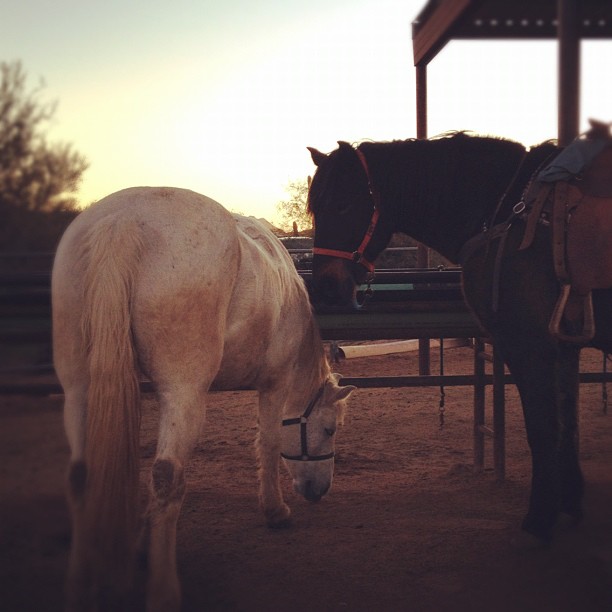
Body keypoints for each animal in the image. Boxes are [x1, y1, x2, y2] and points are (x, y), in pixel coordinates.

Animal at [52, 188, 354, 612]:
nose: (319, 490)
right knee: (166, 478)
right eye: (329, 429)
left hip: (80, 389)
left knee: (81, 476)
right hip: (185, 393)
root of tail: (124, 221)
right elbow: (267, 443)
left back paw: (79, 586)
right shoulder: (274, 384)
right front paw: (275, 511)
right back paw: (164, 593)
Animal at [308, 131, 612, 544]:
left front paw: (539, 519)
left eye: (342, 205)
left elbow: (543, 429)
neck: (506, 214)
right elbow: (567, 427)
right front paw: (568, 503)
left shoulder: (530, 347)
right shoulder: (564, 347)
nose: (325, 287)